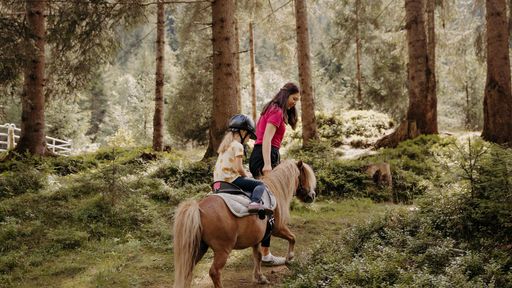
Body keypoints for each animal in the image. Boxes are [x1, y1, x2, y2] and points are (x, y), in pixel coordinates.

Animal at [172, 160, 316, 288]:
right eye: (305, 176)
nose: (312, 195)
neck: (273, 191)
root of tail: (199, 208)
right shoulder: (278, 228)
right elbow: (292, 238)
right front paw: (289, 257)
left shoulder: (256, 238)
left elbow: (258, 256)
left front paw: (260, 277)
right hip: (222, 250)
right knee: (214, 272)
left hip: (198, 247)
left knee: (187, 270)